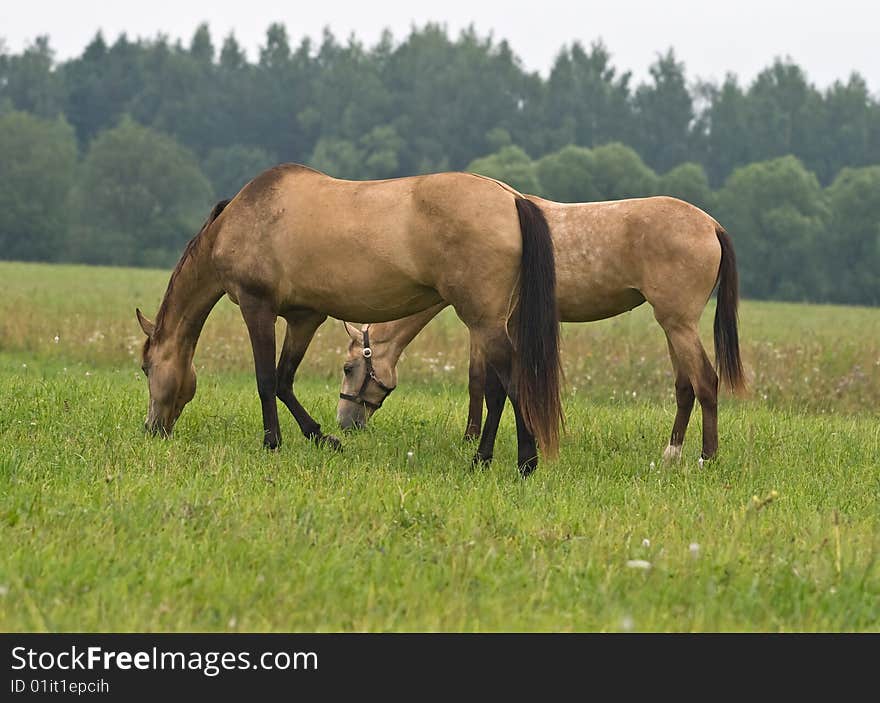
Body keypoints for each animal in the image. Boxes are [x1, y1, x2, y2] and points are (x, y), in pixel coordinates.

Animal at [138, 162, 564, 476]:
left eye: (145, 368)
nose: (151, 429)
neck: (242, 218)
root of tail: (512, 197)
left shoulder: (256, 307)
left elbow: (264, 380)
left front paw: (272, 442)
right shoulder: (305, 317)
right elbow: (284, 379)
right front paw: (321, 437)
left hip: (484, 323)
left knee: (513, 384)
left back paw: (524, 464)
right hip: (491, 323)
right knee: (497, 390)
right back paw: (482, 460)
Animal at [334, 195, 744, 460]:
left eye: (349, 367)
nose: (344, 422)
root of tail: (712, 225)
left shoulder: (487, 326)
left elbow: (480, 383)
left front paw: (471, 439)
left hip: (680, 325)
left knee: (705, 381)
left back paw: (707, 457)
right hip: (673, 326)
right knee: (685, 386)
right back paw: (672, 453)